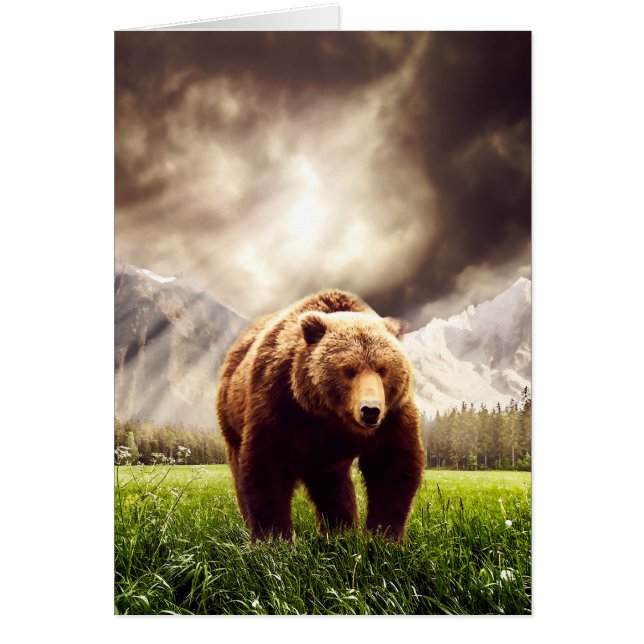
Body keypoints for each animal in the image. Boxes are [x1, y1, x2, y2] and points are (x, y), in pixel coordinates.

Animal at [216, 289, 425, 542]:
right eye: (348, 370)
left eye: (383, 369)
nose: (370, 410)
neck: (330, 415)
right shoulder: (278, 401)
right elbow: (266, 465)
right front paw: (275, 539)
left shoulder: (393, 415)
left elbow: (392, 465)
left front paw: (383, 536)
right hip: (232, 417)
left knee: (332, 486)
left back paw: (340, 531)